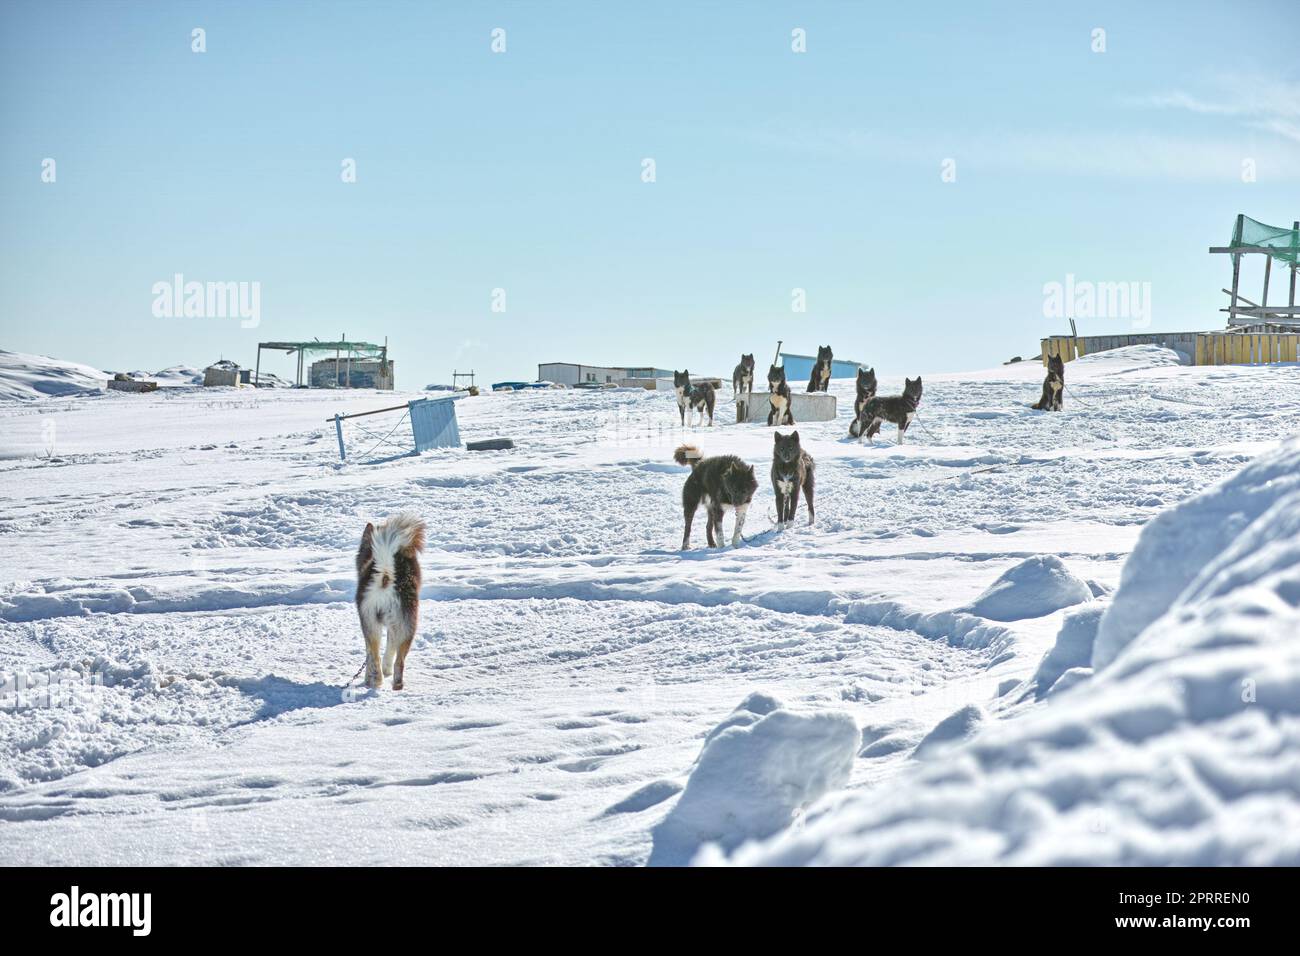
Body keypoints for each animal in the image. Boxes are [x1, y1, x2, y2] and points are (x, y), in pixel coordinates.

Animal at [356, 515, 426, 686]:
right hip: (407, 623)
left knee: (376, 657)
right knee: (396, 660)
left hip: (370, 621)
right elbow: (390, 647)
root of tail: (386, 575)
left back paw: (379, 682)